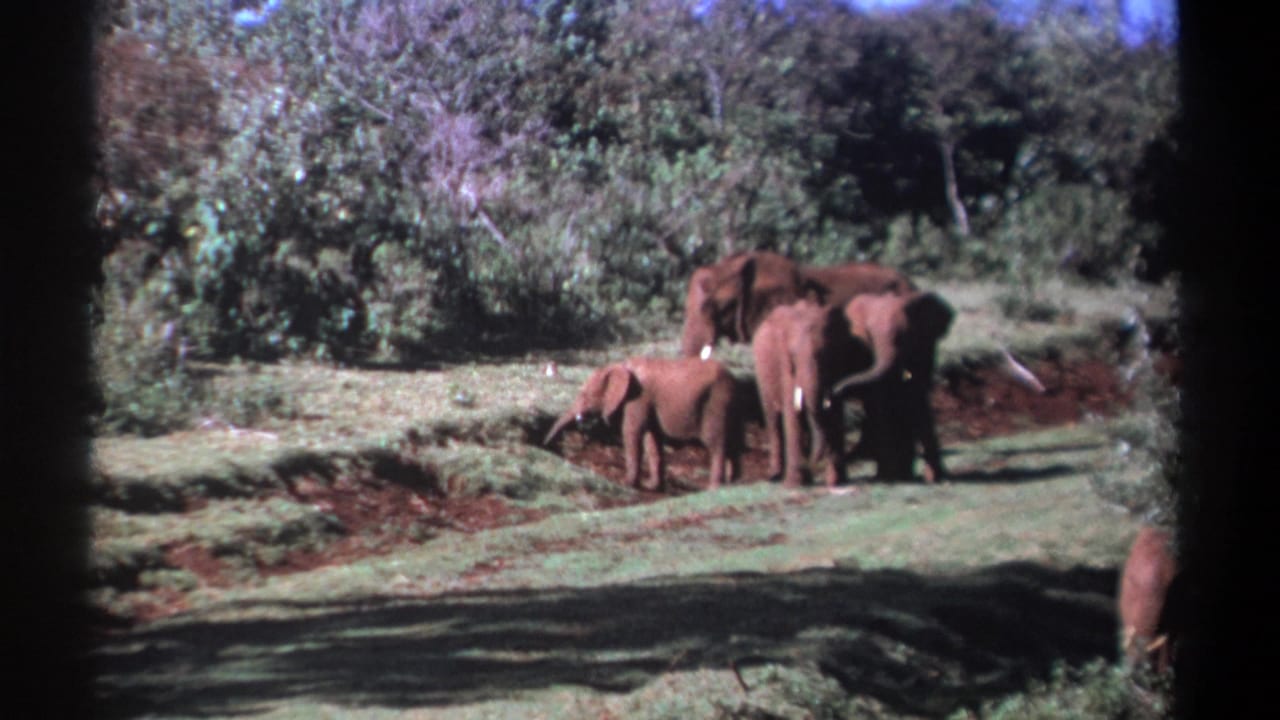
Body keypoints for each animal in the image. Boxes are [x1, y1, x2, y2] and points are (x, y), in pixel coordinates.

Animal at [543, 356, 743, 491]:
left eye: (585, 396)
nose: (547, 446)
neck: (620, 366)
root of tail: (734, 380)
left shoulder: (637, 399)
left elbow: (632, 433)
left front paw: (627, 483)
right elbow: (651, 438)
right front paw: (652, 486)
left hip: (716, 402)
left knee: (715, 442)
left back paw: (714, 487)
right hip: (729, 404)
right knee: (733, 441)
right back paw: (733, 483)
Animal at [751, 300, 873, 488]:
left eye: (827, 355)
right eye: (793, 356)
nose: (812, 462)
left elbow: (834, 412)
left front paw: (837, 482)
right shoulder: (785, 367)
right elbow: (793, 414)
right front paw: (794, 485)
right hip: (762, 377)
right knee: (774, 420)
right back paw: (776, 476)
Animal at [831, 291, 955, 483]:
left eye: (907, 335)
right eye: (870, 336)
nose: (834, 392)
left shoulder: (925, 345)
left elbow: (916, 394)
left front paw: (936, 477)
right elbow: (880, 397)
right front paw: (889, 476)